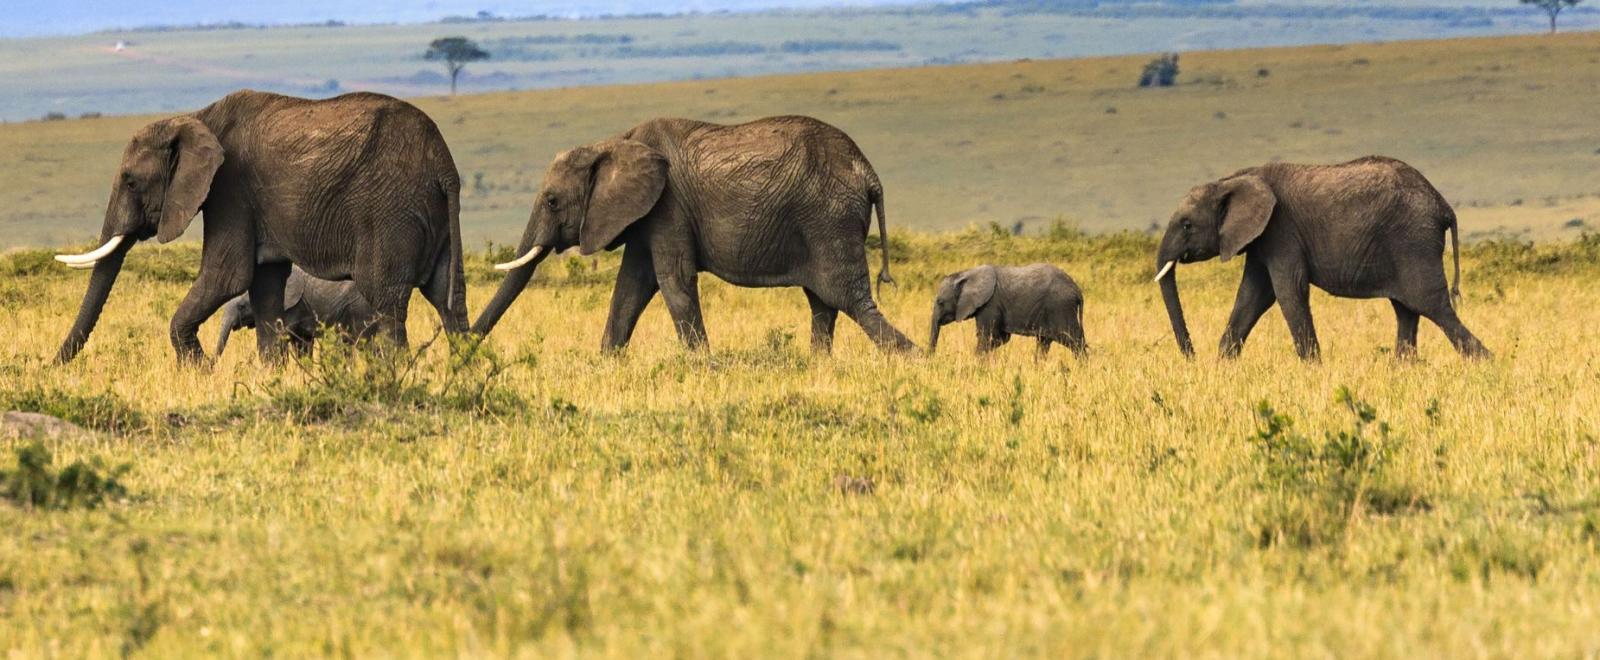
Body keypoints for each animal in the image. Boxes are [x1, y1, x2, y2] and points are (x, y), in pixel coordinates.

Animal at [470, 116, 915, 358]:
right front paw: (606, 362)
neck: (614, 141)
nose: (463, 348)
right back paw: (818, 365)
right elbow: (631, 286)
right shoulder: (646, 214)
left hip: (829, 218)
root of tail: (869, 173)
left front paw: (703, 365)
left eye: (551, 201)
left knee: (848, 299)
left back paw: (914, 358)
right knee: (824, 303)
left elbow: (673, 279)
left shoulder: (669, 206)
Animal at [1158, 154, 1491, 360]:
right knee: (1406, 310)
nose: (1191, 357)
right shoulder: (1262, 239)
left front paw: (1313, 367)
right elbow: (1252, 296)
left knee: (1432, 306)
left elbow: (1287, 291)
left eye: (1187, 225)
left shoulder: (1282, 230)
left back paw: (1485, 363)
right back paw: (1402, 369)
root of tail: (1443, 205)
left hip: (1413, 242)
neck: (1233, 179)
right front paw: (1223, 363)